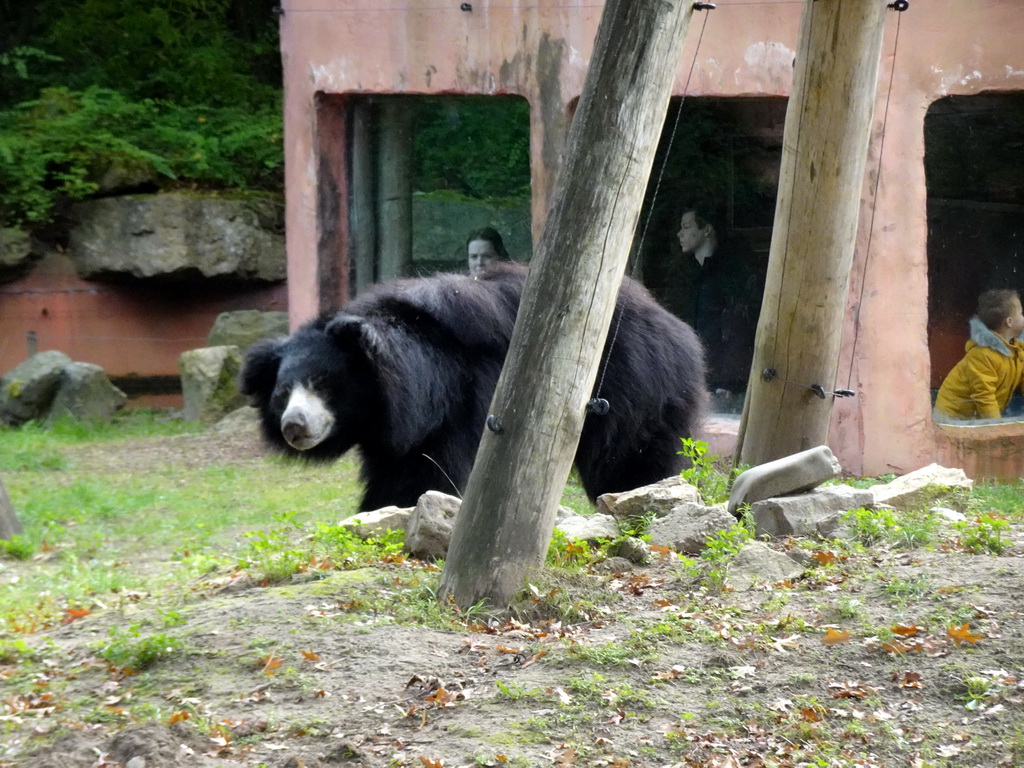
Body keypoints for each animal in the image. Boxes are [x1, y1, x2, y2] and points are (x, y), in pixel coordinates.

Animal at [241, 264, 704, 512]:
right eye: (282, 394)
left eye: (324, 384)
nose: (294, 426)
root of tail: (674, 324)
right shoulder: (397, 433)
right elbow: (395, 471)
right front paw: (377, 510)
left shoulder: (467, 397)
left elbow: (434, 472)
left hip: (635, 387)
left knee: (628, 457)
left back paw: (641, 492)